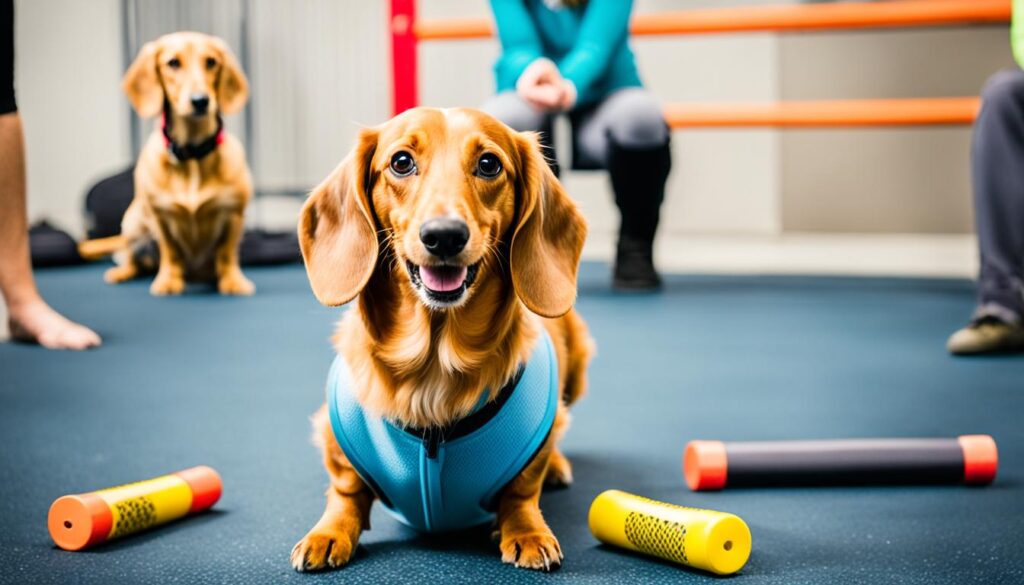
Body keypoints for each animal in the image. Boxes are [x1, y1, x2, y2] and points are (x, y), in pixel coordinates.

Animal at [90, 31, 253, 295]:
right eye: (173, 63)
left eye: (211, 62)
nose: (200, 101)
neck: (193, 154)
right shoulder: (160, 217)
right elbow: (171, 253)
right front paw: (168, 281)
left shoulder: (234, 214)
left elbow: (227, 254)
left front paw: (233, 281)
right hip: (133, 223)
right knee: (131, 257)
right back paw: (123, 271)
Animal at [290, 106, 593, 573]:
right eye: (401, 162)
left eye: (489, 164)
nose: (444, 235)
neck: (434, 358)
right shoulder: (333, 433)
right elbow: (345, 491)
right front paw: (328, 532)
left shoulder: (533, 448)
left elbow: (522, 490)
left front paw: (527, 531)